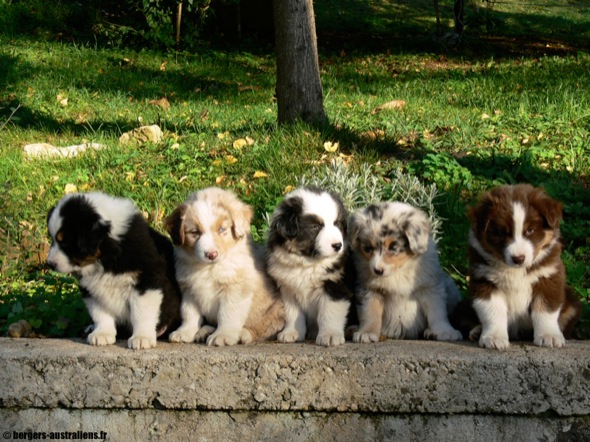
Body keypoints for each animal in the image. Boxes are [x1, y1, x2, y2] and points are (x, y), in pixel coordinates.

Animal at [46, 192, 182, 350]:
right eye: (53, 239)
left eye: (65, 243)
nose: (49, 264)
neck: (106, 258)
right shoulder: (93, 290)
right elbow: (100, 314)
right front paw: (102, 334)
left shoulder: (146, 282)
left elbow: (141, 313)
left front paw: (142, 337)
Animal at [165, 186, 286, 346]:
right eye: (195, 232)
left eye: (222, 229)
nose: (211, 254)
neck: (208, 268)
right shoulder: (189, 290)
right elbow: (189, 313)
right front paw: (185, 332)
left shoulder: (235, 288)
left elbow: (227, 314)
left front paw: (223, 335)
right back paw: (205, 331)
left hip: (276, 310)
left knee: (264, 329)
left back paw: (242, 334)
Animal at [266, 186, 354, 346]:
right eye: (315, 226)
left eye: (337, 223)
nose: (338, 245)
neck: (307, 263)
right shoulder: (288, 289)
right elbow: (293, 314)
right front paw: (291, 333)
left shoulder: (335, 285)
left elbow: (329, 312)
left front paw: (330, 335)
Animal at [350, 202, 464, 344]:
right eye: (368, 248)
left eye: (393, 247)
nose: (377, 270)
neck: (398, 270)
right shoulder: (369, 290)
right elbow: (370, 312)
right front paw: (366, 332)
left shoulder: (430, 287)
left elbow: (437, 312)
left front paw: (445, 332)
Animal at [470, 183, 584, 348]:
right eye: (501, 232)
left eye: (530, 230)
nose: (518, 258)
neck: (515, 270)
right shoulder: (483, 279)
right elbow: (492, 311)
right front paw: (494, 337)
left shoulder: (548, 277)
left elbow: (545, 310)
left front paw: (549, 335)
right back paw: (477, 331)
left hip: (572, 305)